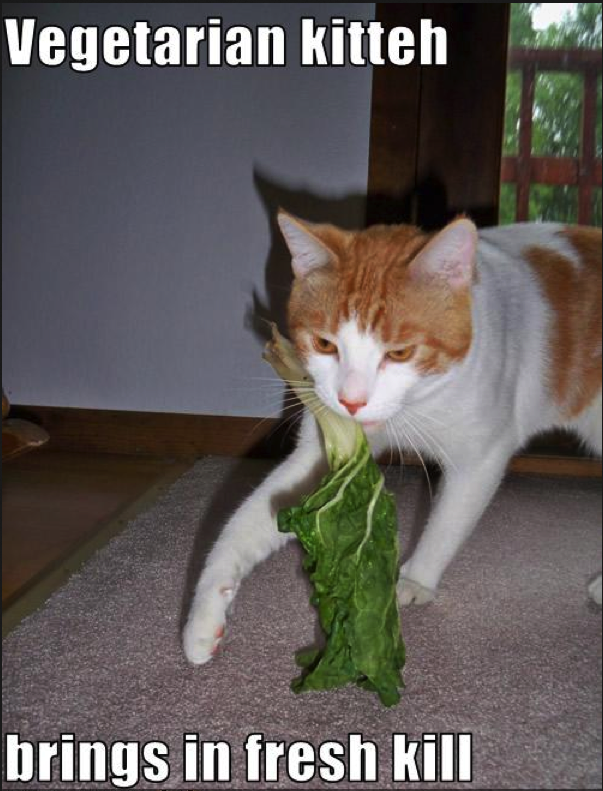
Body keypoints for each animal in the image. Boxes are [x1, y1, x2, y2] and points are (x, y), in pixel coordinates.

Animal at [184, 210, 603, 664]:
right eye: (325, 344)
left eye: (400, 353)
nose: (351, 402)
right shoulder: (326, 453)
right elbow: (248, 519)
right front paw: (204, 613)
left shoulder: (481, 457)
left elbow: (447, 522)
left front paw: (416, 580)